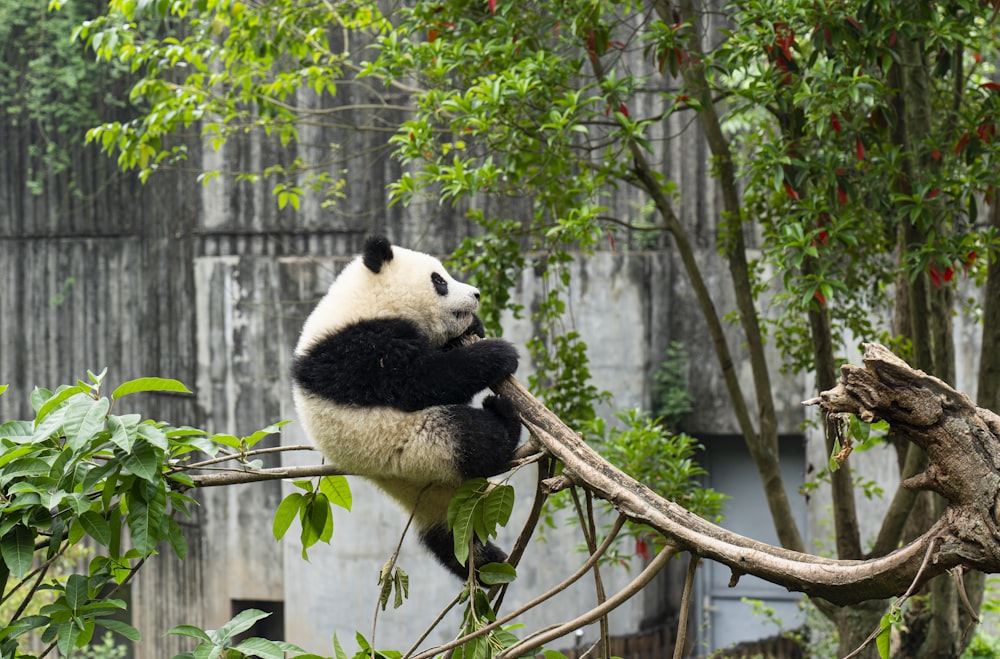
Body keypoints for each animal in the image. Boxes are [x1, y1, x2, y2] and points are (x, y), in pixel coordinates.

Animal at [290, 235, 524, 580]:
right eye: (439, 281)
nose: (476, 294)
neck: (364, 302)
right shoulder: (355, 351)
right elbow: (419, 381)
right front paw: (497, 353)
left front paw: (475, 327)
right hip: (422, 445)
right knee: (476, 436)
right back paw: (503, 416)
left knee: (446, 539)